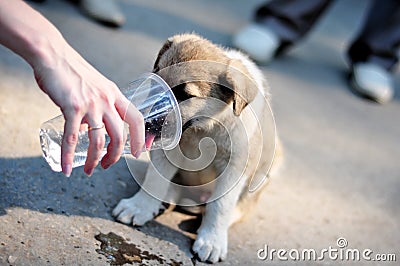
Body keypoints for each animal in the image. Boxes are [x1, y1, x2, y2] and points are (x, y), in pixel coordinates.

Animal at [111, 32, 282, 262]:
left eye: (185, 95)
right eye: (156, 78)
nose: (141, 120)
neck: (204, 128)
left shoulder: (236, 167)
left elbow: (221, 206)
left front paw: (212, 240)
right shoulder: (166, 150)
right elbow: (154, 181)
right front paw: (140, 206)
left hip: (266, 170)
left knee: (237, 209)